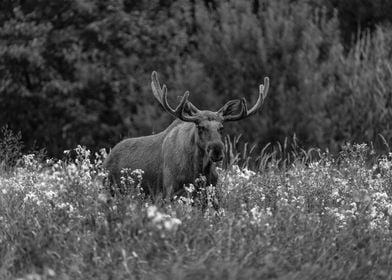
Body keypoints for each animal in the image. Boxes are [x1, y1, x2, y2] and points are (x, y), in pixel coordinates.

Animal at [103, 71, 270, 198]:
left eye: (221, 128)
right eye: (200, 127)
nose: (217, 150)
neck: (198, 171)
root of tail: (108, 158)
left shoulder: (211, 192)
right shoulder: (170, 191)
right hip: (110, 189)